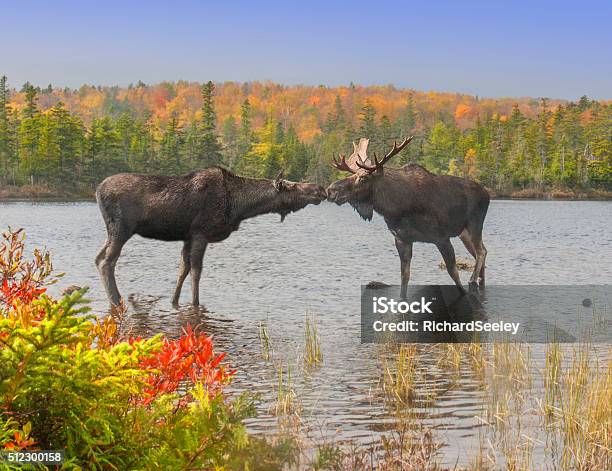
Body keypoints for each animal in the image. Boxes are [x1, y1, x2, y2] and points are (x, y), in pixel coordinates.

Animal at [95, 168, 328, 308]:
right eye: (292, 186)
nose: (320, 189)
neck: (239, 206)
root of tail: (97, 190)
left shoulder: (187, 237)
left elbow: (183, 270)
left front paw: (174, 301)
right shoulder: (201, 233)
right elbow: (196, 272)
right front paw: (195, 304)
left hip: (112, 232)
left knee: (98, 258)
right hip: (121, 229)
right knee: (107, 262)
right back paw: (116, 300)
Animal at [328, 137, 490, 298]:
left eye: (363, 178)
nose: (331, 190)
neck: (395, 208)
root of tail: (487, 193)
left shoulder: (441, 237)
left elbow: (453, 273)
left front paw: (464, 292)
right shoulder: (402, 239)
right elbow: (404, 277)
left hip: (474, 225)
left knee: (481, 252)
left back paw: (472, 279)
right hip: (463, 234)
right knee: (479, 253)